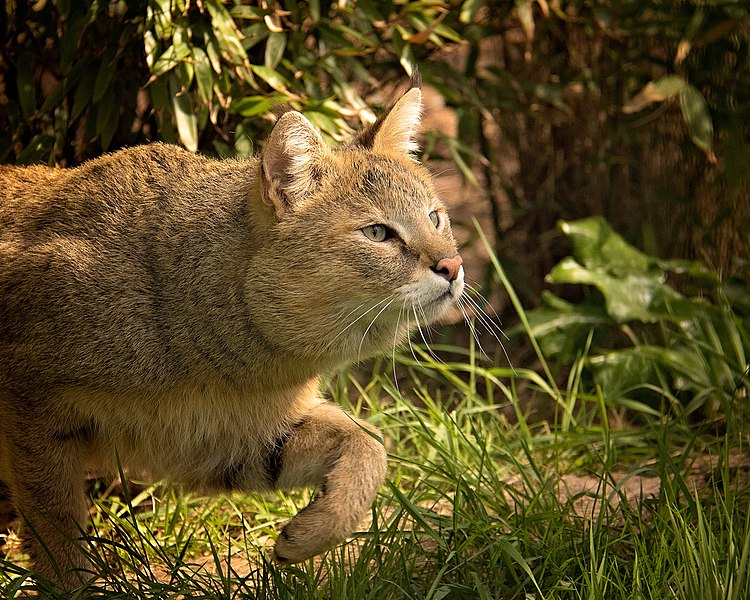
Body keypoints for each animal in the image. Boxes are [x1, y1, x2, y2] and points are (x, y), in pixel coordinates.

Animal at [0, 86, 468, 588]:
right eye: (378, 232)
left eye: (435, 218)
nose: (453, 266)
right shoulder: (33, 411)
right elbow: (60, 536)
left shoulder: (223, 439)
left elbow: (370, 444)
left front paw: (314, 531)